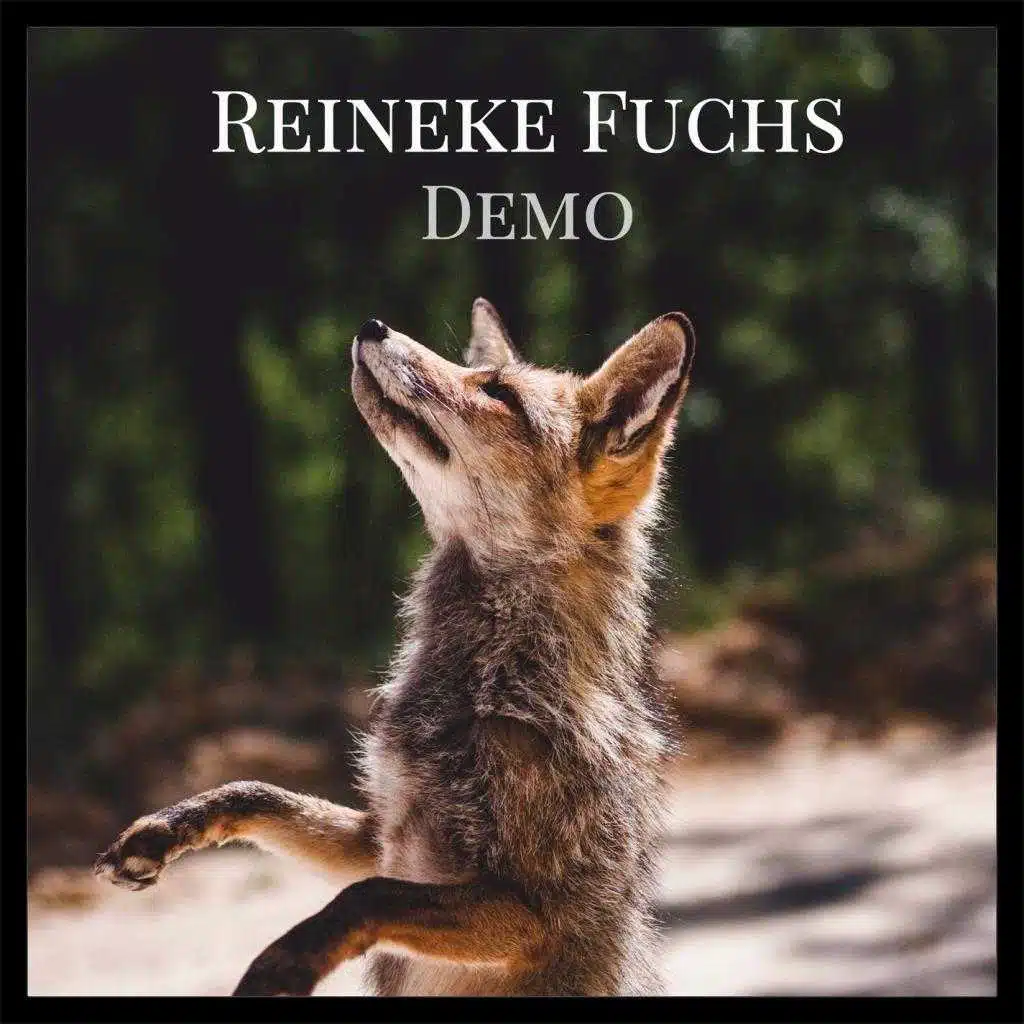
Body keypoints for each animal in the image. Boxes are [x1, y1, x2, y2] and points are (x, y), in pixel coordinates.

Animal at [94, 298, 696, 997]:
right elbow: (258, 793)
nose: (371, 326)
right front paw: (166, 830)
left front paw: (287, 963)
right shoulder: (381, 838)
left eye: (498, 393)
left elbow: (367, 898)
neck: (488, 688)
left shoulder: (528, 913)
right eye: (478, 373)